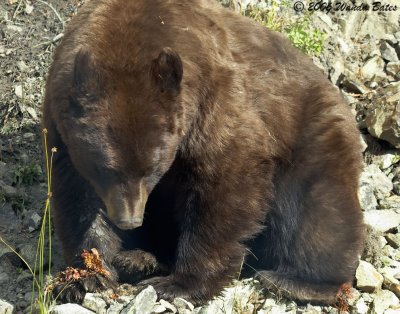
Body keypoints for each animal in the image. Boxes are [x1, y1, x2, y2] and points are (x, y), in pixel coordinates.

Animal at [43, 0, 366, 306]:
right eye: (106, 169)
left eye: (151, 170)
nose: (129, 220)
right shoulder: (61, 130)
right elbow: (77, 199)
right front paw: (86, 276)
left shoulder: (212, 100)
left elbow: (226, 182)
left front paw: (180, 283)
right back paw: (138, 258)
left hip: (310, 139)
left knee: (317, 212)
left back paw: (298, 282)